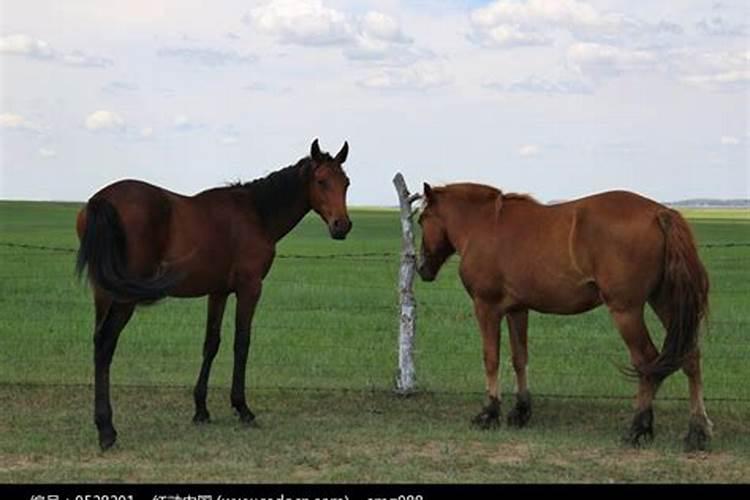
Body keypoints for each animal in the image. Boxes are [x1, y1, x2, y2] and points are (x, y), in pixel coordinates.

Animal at [76, 138, 352, 450]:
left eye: (346, 183)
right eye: (321, 181)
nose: (342, 225)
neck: (256, 212)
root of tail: (101, 201)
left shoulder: (218, 292)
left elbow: (211, 343)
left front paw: (201, 409)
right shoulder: (249, 288)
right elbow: (241, 343)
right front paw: (242, 408)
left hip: (104, 294)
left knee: (99, 343)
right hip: (123, 298)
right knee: (106, 344)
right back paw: (106, 429)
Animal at [420, 182, 712, 452]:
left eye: (422, 219)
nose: (422, 269)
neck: (485, 225)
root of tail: (660, 213)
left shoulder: (487, 307)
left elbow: (491, 359)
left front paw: (489, 413)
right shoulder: (517, 309)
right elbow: (519, 358)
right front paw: (521, 411)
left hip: (626, 311)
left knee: (647, 362)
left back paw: (637, 427)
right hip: (665, 301)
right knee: (690, 358)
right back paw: (697, 430)